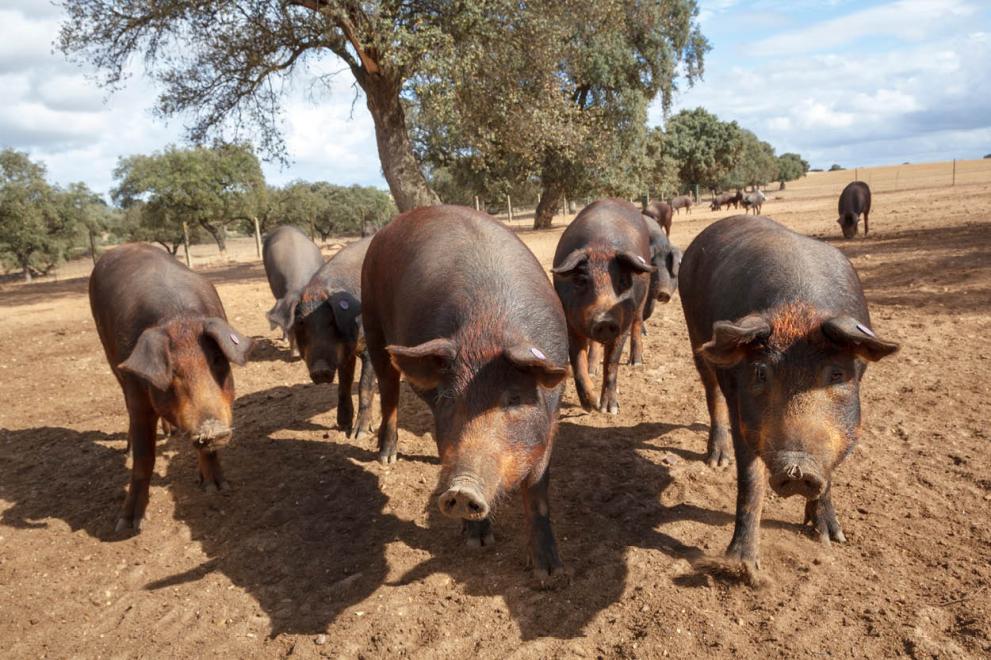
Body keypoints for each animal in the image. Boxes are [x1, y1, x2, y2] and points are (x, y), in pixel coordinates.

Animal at [87, 245, 254, 532]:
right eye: (172, 372)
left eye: (217, 361)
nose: (213, 429)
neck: (178, 317)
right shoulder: (138, 398)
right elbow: (144, 459)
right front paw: (127, 525)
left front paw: (216, 488)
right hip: (110, 355)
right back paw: (129, 451)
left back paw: (170, 433)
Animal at [270, 236, 378, 438]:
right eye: (301, 323)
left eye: (331, 321)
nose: (320, 369)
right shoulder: (345, 354)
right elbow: (343, 384)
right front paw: (343, 426)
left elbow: (364, 386)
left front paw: (359, 434)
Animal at [360, 205, 568, 576]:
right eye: (448, 399)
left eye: (514, 399)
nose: (460, 489)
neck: (487, 327)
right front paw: (479, 543)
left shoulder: (551, 417)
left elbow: (538, 491)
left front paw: (549, 573)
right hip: (371, 319)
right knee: (390, 392)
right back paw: (386, 457)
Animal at [556, 197, 656, 412]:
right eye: (581, 281)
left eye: (623, 281)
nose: (604, 320)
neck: (600, 246)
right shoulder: (570, 322)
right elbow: (577, 362)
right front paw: (589, 405)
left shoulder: (622, 324)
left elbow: (611, 362)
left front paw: (609, 409)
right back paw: (593, 369)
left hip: (641, 301)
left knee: (637, 324)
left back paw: (636, 362)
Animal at [680, 217, 900, 584]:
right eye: (760, 372)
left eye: (837, 374)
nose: (796, 467)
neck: (798, 305)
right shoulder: (744, 413)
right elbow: (750, 480)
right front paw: (741, 568)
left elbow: (830, 466)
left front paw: (831, 537)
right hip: (696, 338)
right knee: (711, 392)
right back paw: (716, 460)